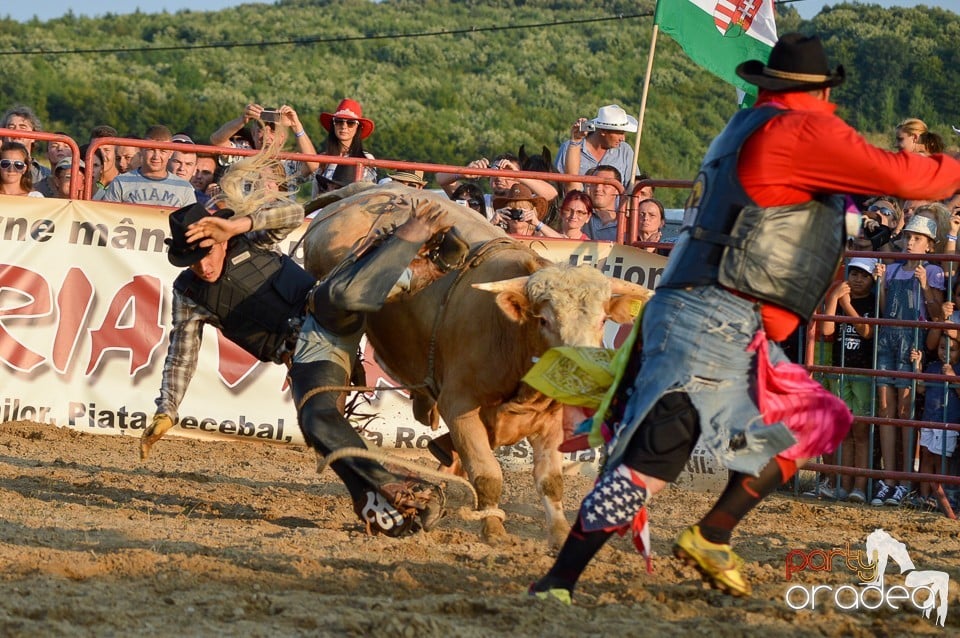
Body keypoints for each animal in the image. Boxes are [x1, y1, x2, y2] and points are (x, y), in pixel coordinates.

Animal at [304, 182, 648, 548]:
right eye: (543, 319)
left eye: (602, 320)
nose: (583, 374)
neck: (510, 336)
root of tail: (367, 191)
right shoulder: (459, 406)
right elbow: (487, 473)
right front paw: (493, 529)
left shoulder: (549, 420)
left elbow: (550, 481)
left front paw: (557, 533)